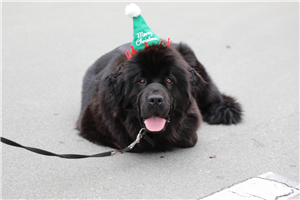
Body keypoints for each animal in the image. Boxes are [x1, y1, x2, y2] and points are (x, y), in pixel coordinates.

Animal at [76, 42, 243, 152]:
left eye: (169, 80)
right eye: (141, 80)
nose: (155, 99)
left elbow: (189, 138)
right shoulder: (90, 123)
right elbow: (124, 142)